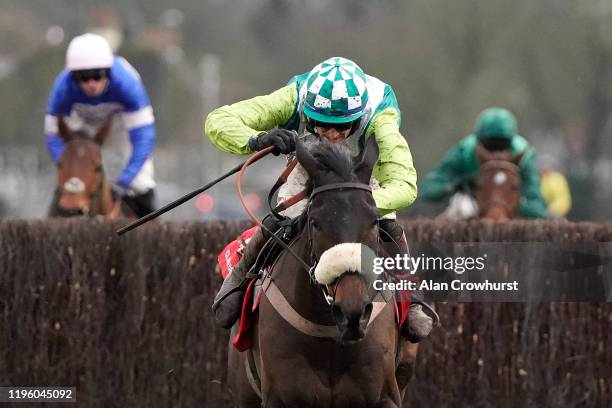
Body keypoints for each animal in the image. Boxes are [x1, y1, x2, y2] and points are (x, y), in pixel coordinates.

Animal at [227, 136, 400, 404]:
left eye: (373, 221)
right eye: (315, 223)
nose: (351, 311)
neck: (330, 334)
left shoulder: (385, 396)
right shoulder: (278, 397)